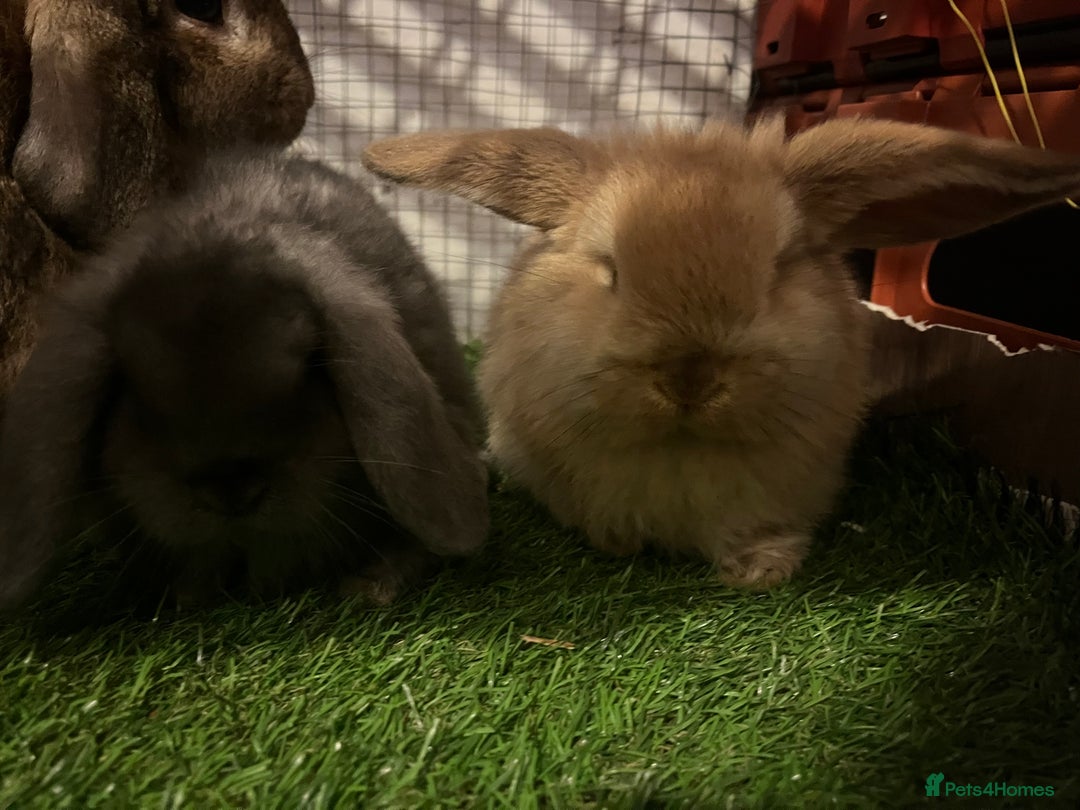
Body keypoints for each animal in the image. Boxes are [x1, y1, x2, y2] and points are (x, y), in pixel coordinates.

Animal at [361, 117, 1080, 589]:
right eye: (611, 269)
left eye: (778, 268)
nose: (690, 377)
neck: (682, 446)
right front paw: (616, 543)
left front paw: (762, 574)